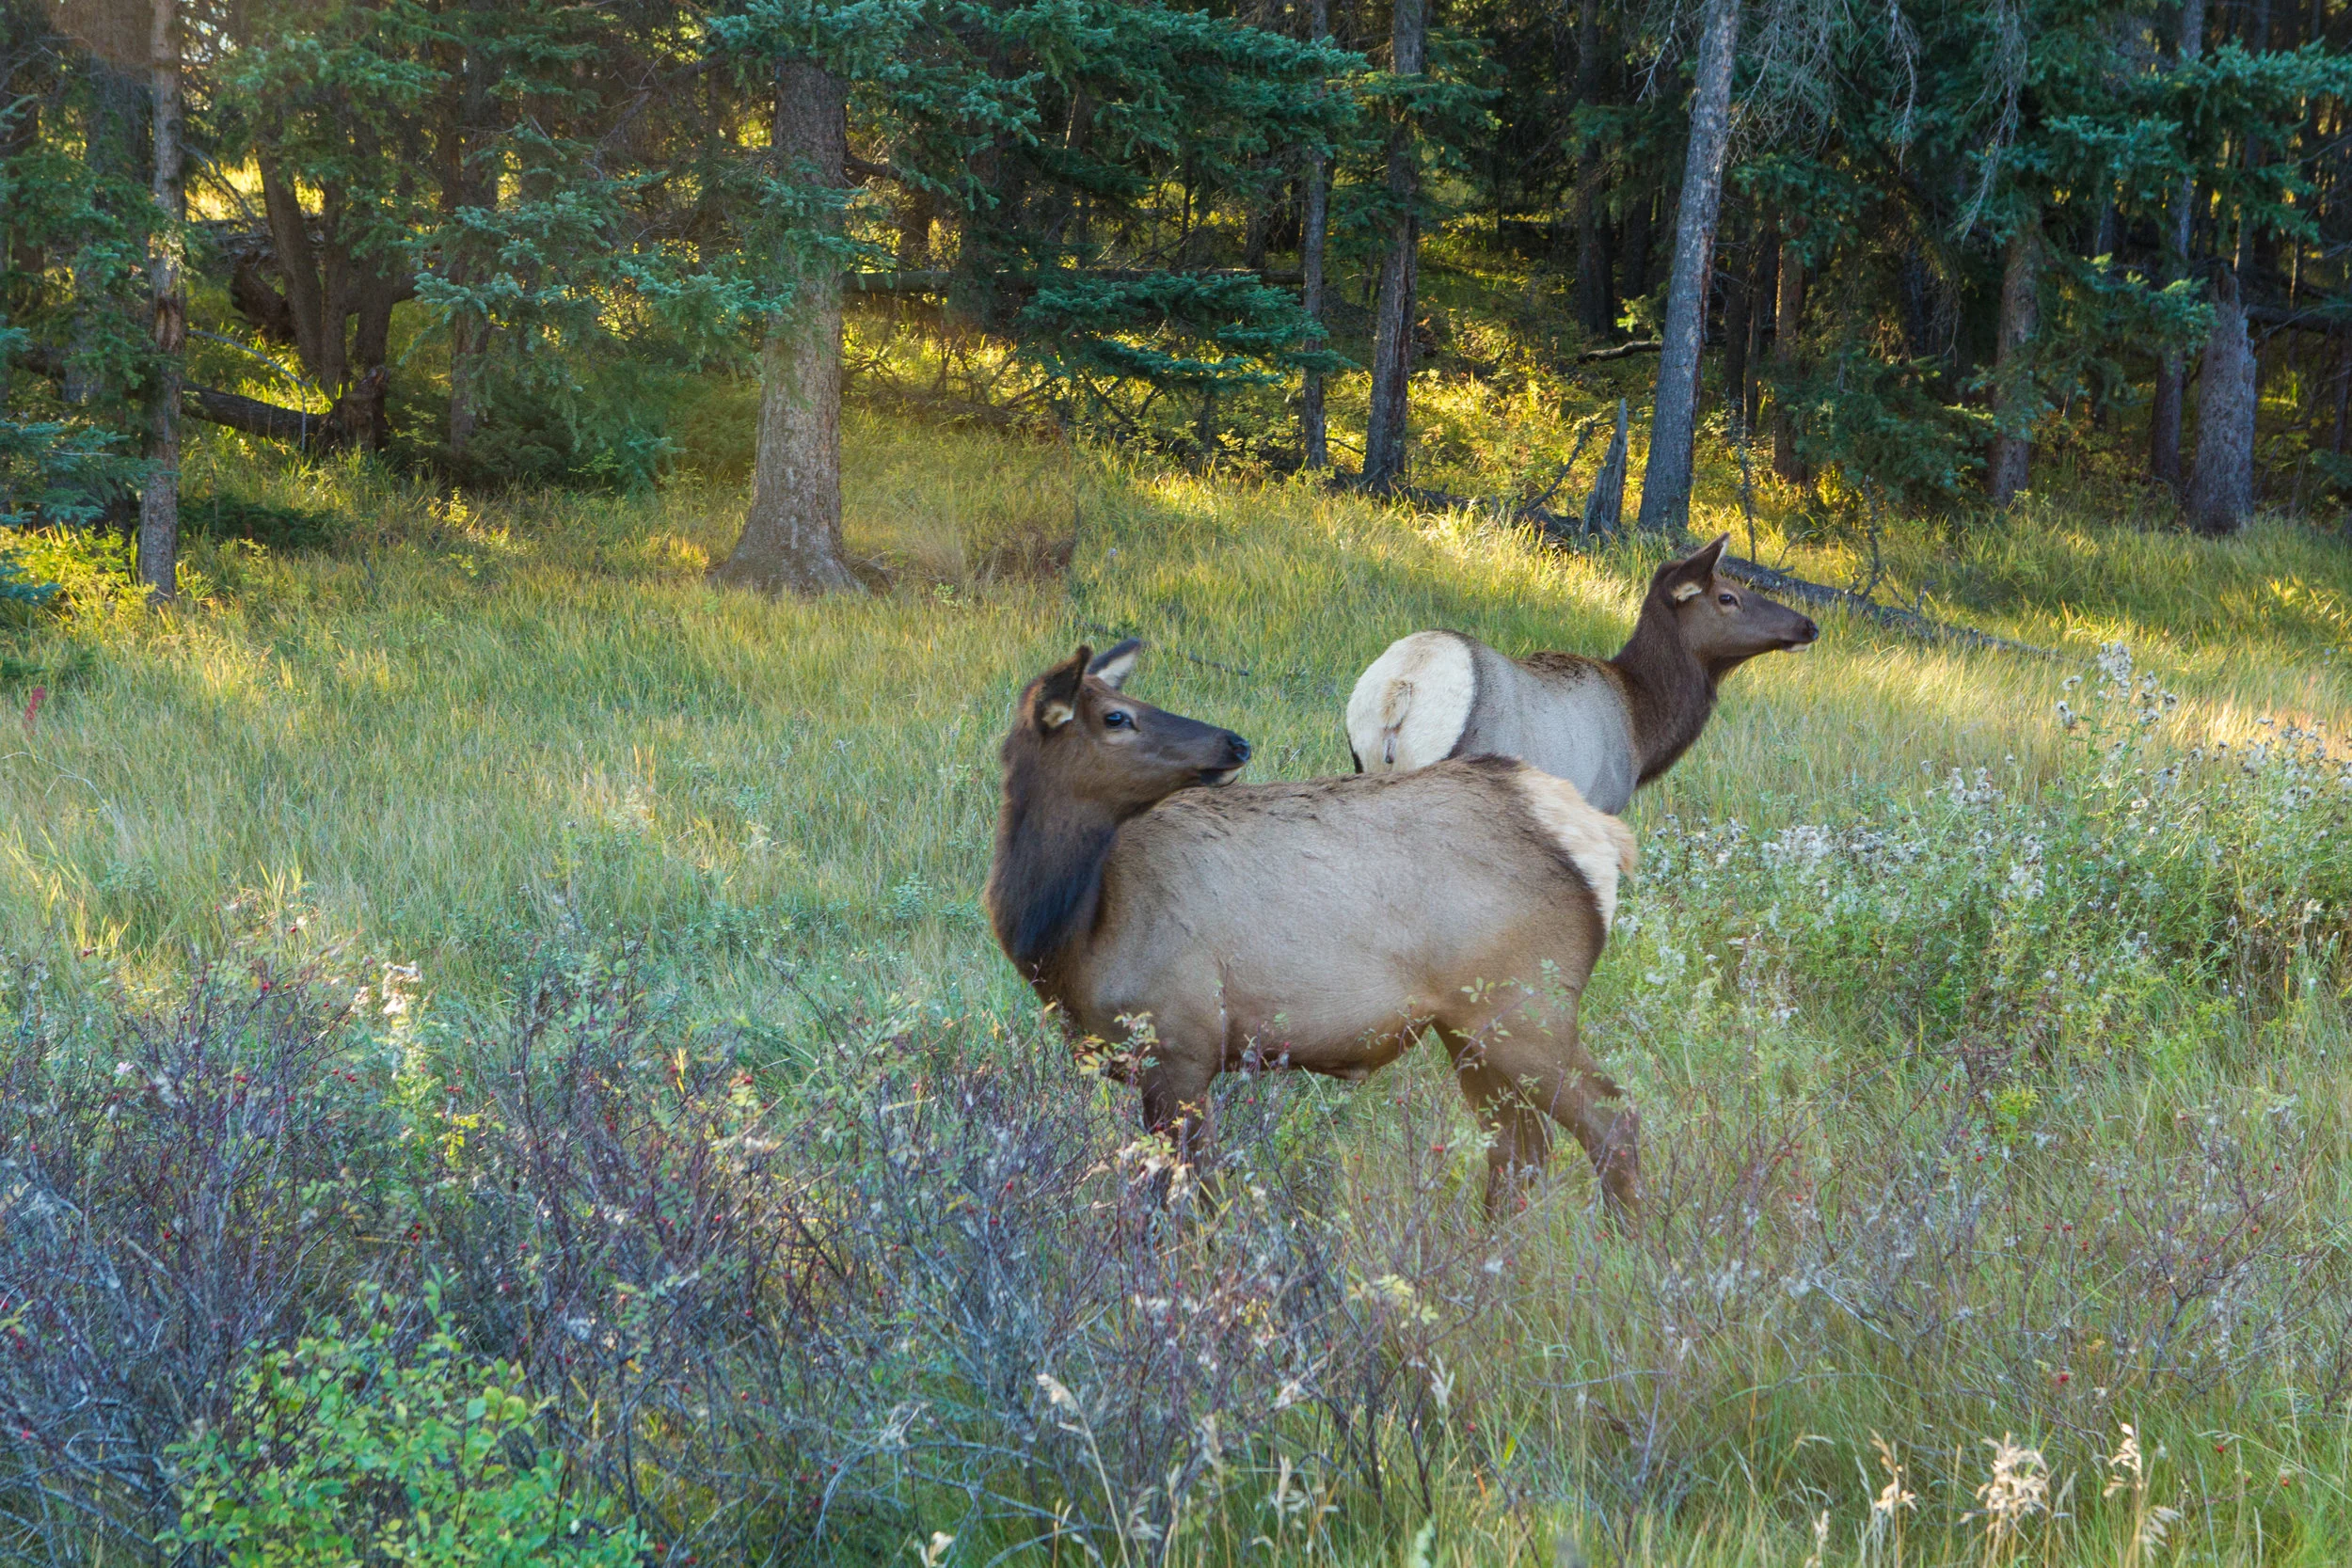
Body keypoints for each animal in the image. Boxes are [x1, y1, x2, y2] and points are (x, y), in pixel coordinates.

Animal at [985, 639, 1642, 1217]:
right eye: (1118, 715)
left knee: (1613, 1118)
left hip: (1529, 1005)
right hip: (1468, 1027)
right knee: (1517, 1144)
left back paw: (1625, 1244)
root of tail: (1597, 837)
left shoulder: (1181, 1043)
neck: (1074, 933)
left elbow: (1193, 1195)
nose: (1235, 742)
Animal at [1344, 534, 1819, 813]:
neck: (1642, 729)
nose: (1807, 625)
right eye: (1727, 597)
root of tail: (1400, 688)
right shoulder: (1602, 800)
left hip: (1363, 764)